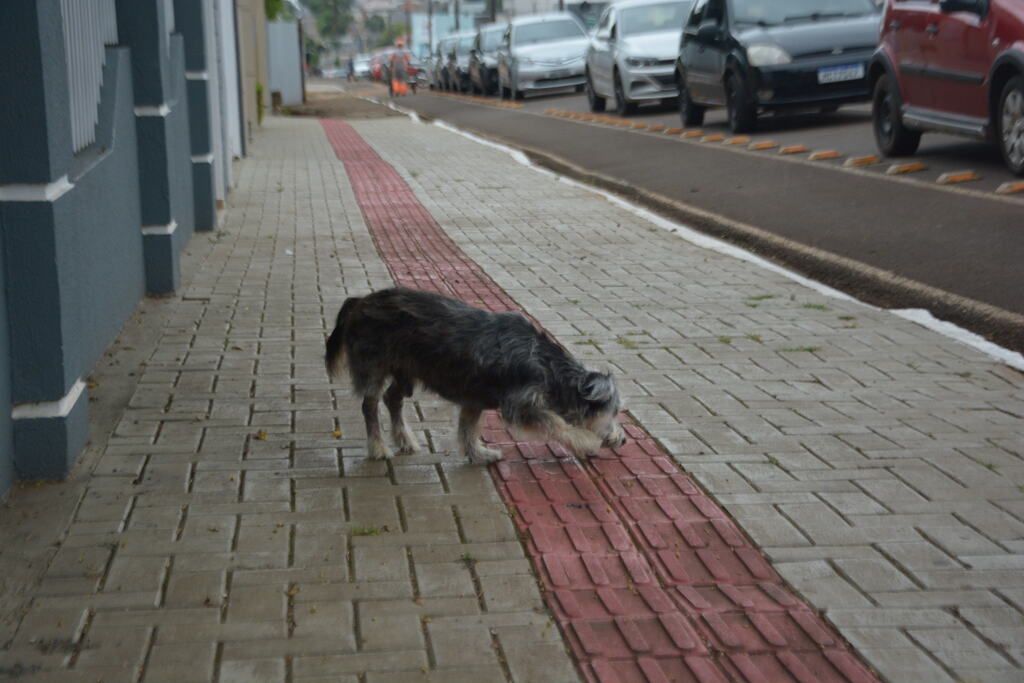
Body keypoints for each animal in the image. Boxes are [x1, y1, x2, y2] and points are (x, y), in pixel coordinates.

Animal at [325, 288, 622, 464]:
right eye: (615, 411)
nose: (624, 440)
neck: (545, 363)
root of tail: (360, 301)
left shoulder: (473, 399)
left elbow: (468, 428)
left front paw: (477, 453)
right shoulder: (520, 406)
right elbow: (557, 423)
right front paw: (585, 442)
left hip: (405, 371)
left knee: (392, 399)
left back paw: (405, 440)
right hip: (374, 367)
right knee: (370, 405)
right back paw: (377, 447)